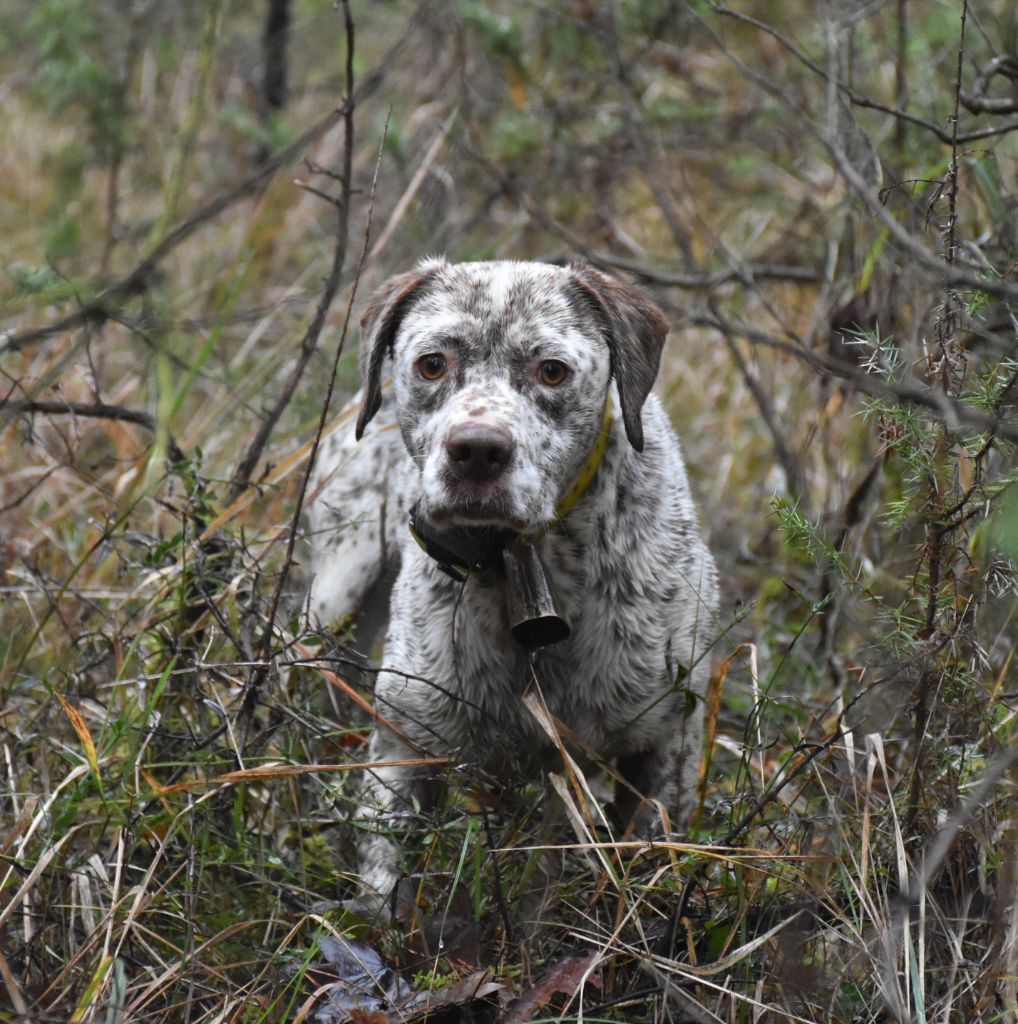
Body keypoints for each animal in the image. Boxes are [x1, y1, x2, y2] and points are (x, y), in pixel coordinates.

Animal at [305, 260, 716, 909]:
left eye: (551, 370)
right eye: (433, 364)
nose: (476, 450)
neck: (522, 565)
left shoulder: (663, 748)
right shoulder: (405, 745)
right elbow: (384, 889)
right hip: (332, 602)